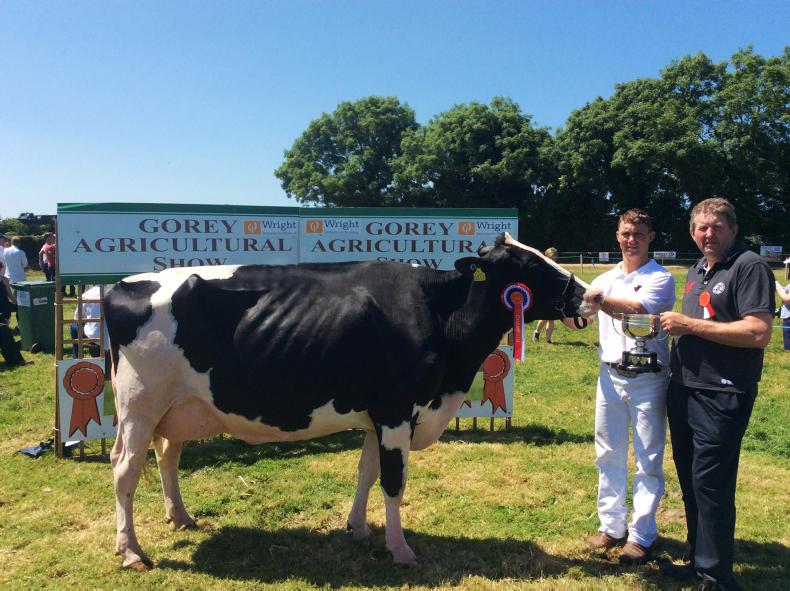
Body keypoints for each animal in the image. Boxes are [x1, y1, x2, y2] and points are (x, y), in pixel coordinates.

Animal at [104, 232, 599, 570]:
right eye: (526, 265)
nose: (589, 294)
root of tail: (120, 285)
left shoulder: (377, 416)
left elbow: (367, 472)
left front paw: (358, 527)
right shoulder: (398, 409)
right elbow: (394, 482)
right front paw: (400, 548)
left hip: (177, 408)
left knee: (167, 456)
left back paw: (180, 517)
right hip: (138, 404)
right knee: (125, 468)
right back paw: (131, 552)